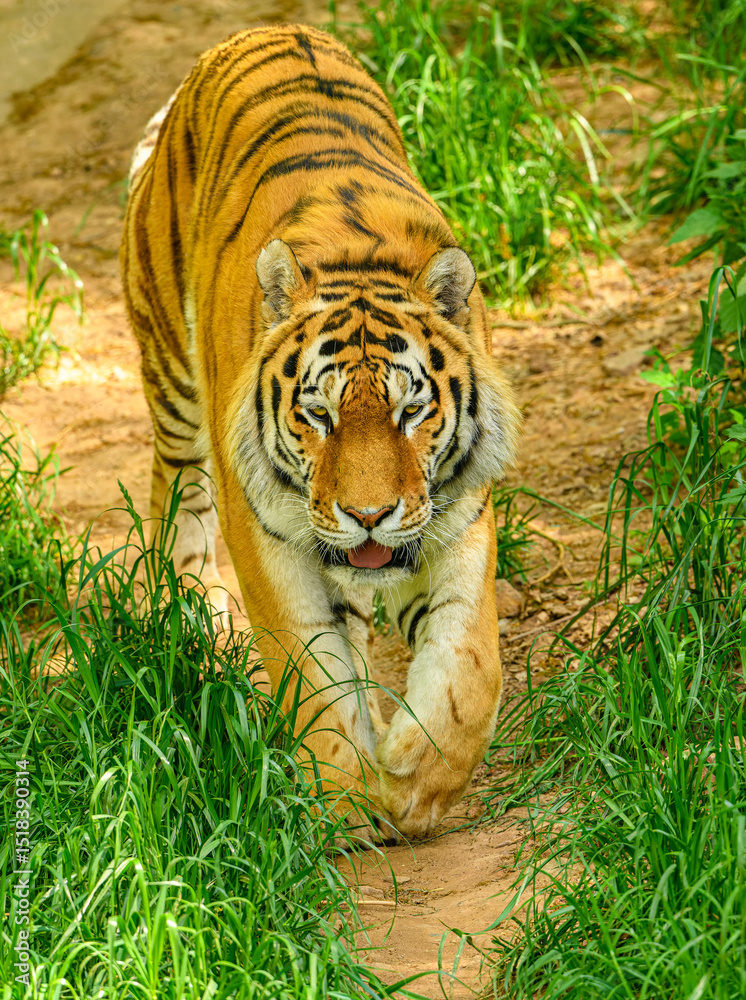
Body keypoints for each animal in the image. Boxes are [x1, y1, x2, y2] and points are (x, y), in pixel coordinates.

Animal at [120, 24, 520, 840]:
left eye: (409, 413)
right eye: (319, 415)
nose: (367, 515)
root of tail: (261, 30)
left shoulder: (459, 517)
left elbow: (469, 663)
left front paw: (416, 774)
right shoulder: (266, 533)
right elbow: (307, 670)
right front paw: (345, 797)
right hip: (172, 379)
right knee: (174, 493)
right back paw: (191, 614)